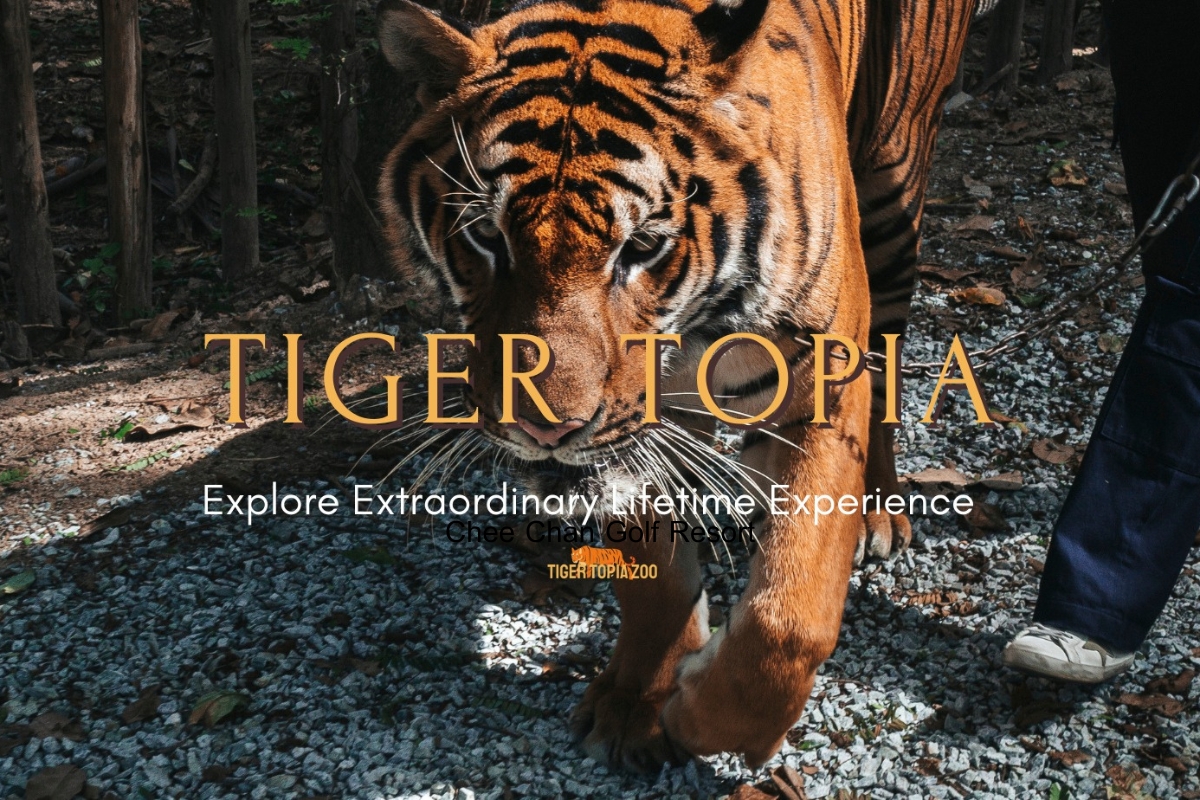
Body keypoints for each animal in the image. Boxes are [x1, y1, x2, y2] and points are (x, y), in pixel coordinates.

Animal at [376, 0, 975, 771]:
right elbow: (655, 579)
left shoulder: (816, 389)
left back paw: (878, 509)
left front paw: (699, 716)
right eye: (486, 235)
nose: (546, 428)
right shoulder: (632, 438)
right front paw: (639, 703)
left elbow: (790, 617)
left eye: (641, 247)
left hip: (894, 191)